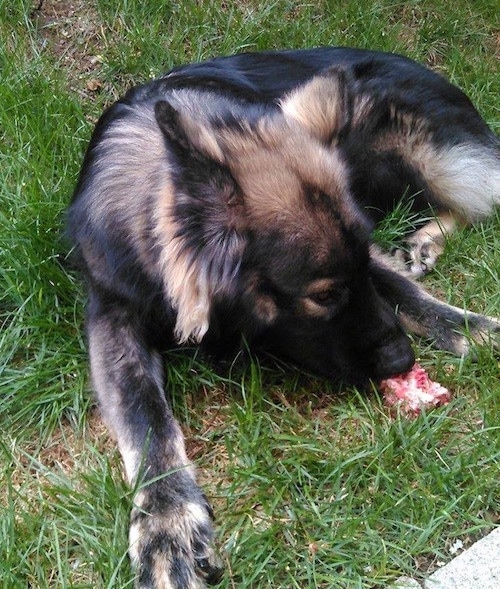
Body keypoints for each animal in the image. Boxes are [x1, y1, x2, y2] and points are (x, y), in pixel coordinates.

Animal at [67, 48, 500, 584]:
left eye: (358, 272)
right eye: (325, 295)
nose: (403, 361)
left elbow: (402, 289)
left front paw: (471, 329)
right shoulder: (112, 314)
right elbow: (144, 415)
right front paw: (167, 521)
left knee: (475, 201)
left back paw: (424, 240)